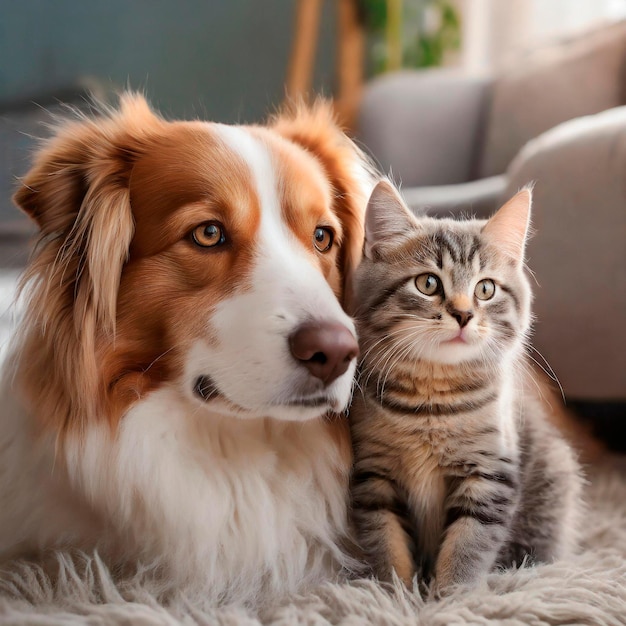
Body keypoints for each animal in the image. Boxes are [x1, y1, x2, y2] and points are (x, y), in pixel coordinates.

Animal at [348, 182, 584, 596]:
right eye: (427, 283)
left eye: (485, 289)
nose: (463, 314)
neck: (432, 398)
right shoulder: (374, 474)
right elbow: (385, 541)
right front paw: (394, 593)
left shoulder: (490, 473)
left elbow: (468, 544)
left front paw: (452, 597)